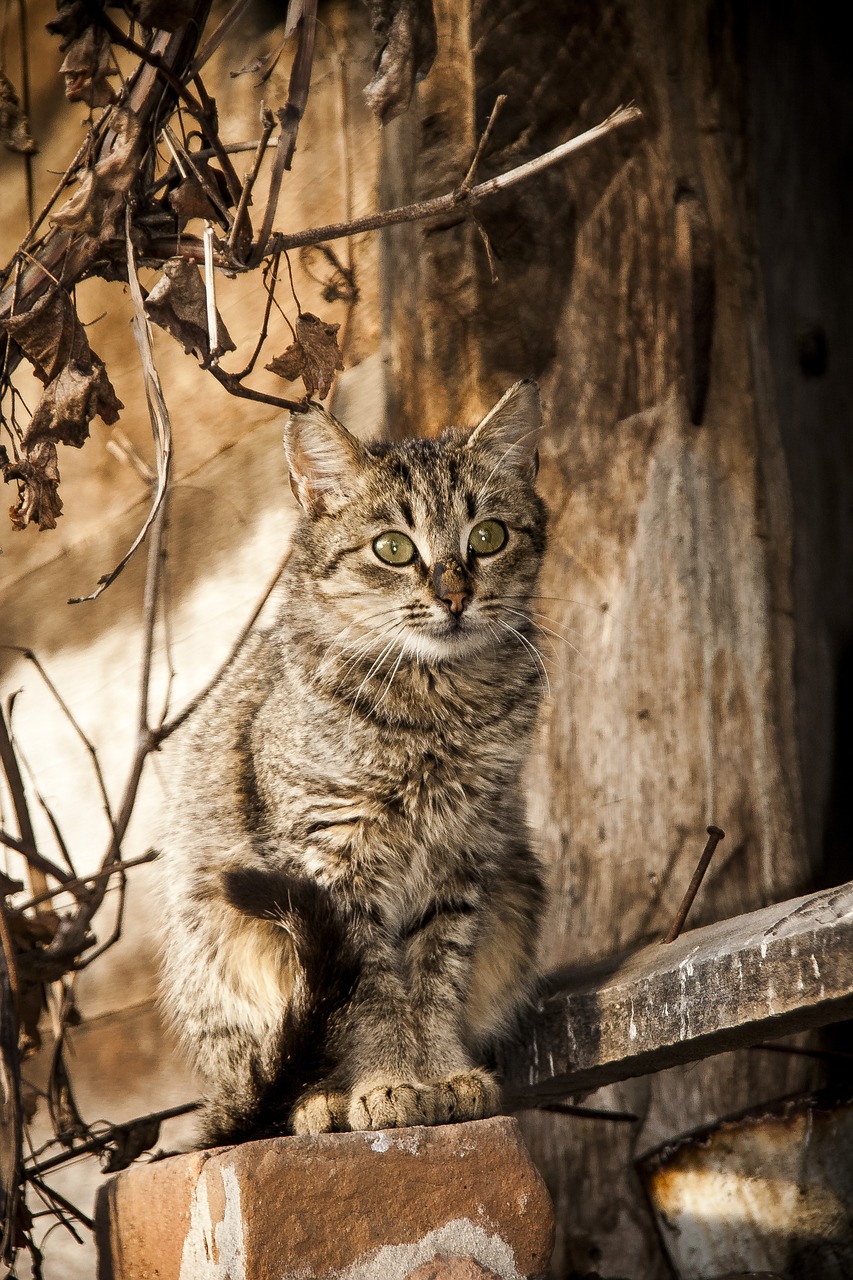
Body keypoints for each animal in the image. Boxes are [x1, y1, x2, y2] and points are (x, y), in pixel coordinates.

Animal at [156, 373, 548, 1146]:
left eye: (487, 537)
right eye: (393, 548)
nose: (454, 595)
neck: (437, 705)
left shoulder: (465, 856)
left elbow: (434, 978)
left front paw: (442, 1072)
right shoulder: (334, 862)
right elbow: (372, 994)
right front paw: (389, 1082)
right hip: (221, 935)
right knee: (273, 1075)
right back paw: (319, 1099)